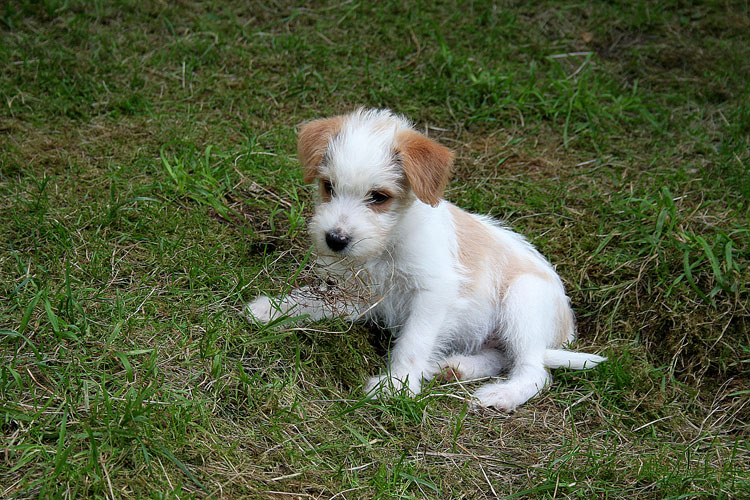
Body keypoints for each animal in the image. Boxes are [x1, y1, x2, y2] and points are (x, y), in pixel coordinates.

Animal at [246, 108, 605, 411]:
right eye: (327, 186)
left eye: (379, 197)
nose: (335, 240)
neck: (386, 247)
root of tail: (564, 329)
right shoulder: (356, 294)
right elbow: (312, 299)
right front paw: (272, 309)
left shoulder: (433, 293)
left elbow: (414, 342)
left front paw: (396, 385)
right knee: (501, 356)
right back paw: (457, 367)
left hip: (524, 302)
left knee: (534, 371)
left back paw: (501, 394)